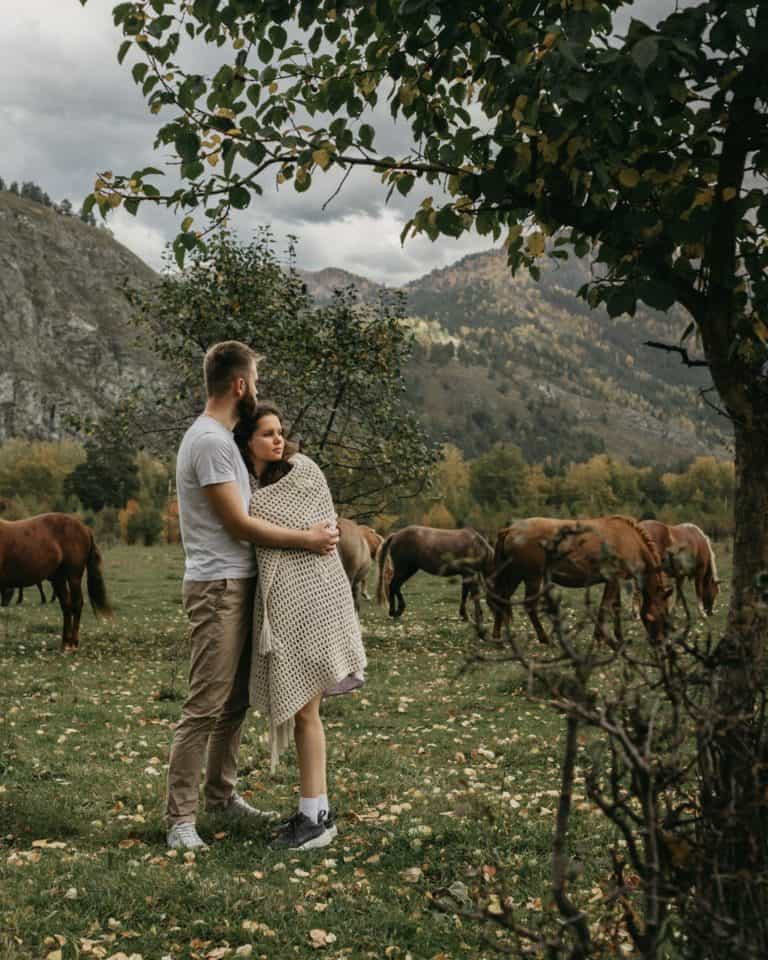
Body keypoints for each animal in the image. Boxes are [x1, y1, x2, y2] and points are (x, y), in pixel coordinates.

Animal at [0, 510, 112, 652]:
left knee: (76, 604)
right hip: (59, 578)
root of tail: (85, 528)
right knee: (66, 605)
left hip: (73, 577)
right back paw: (65, 643)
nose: (4, 604)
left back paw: (73, 644)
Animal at [488, 516, 668, 644]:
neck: (629, 539)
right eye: (658, 615)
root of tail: (510, 529)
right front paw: (599, 638)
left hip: (513, 575)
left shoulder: (616, 580)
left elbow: (615, 607)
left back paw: (497, 636)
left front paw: (619, 637)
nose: (659, 641)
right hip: (532, 577)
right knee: (529, 605)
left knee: (501, 600)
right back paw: (544, 638)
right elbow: (604, 607)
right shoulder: (613, 579)